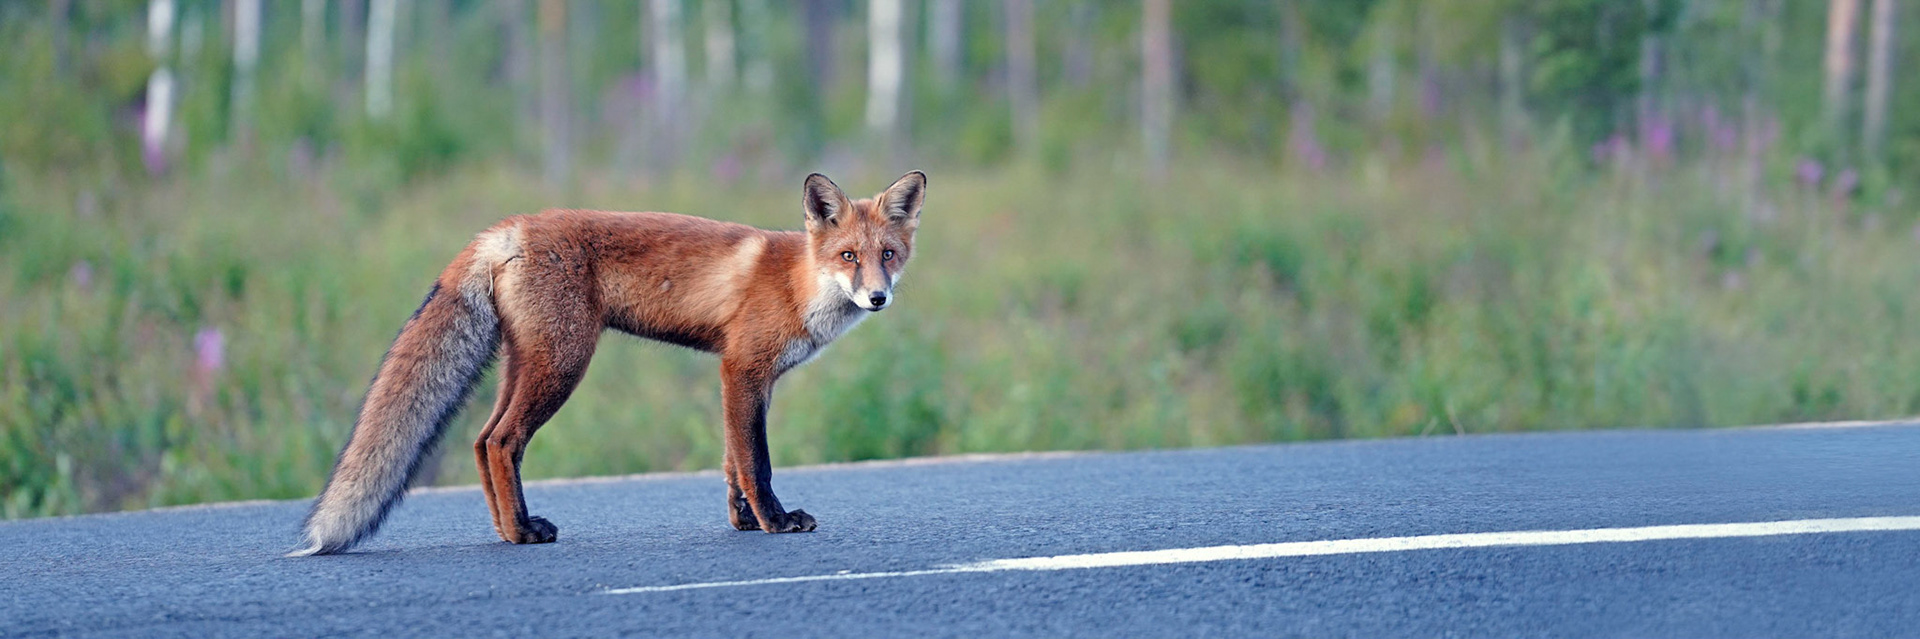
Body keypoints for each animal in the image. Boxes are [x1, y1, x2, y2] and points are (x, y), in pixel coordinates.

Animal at [288, 168, 933, 552]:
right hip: (563, 365)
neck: (800, 283)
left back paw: (507, 530)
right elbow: (757, 463)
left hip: (529, 363)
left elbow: (732, 463)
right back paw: (522, 530)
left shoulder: (748, 378)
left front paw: (744, 522)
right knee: (502, 442)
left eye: (888, 255)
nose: (877, 298)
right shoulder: (742, 370)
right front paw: (774, 523)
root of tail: (505, 228)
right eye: (848, 256)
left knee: (480, 439)